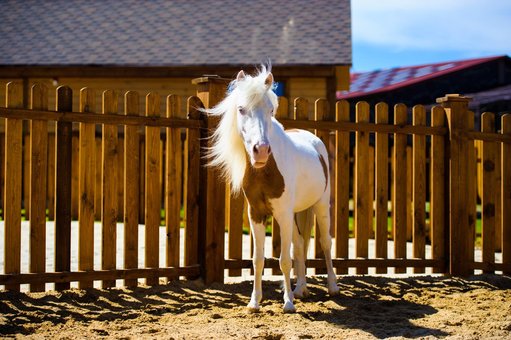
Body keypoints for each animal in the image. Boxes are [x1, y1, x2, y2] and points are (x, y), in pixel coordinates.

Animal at [204, 65, 340, 312]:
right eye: (241, 109)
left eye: (270, 110)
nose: (261, 151)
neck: (266, 171)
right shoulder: (256, 214)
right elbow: (258, 259)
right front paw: (255, 302)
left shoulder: (283, 214)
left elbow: (284, 260)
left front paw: (288, 303)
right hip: (295, 213)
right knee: (299, 244)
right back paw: (300, 289)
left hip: (321, 206)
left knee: (325, 243)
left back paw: (332, 287)